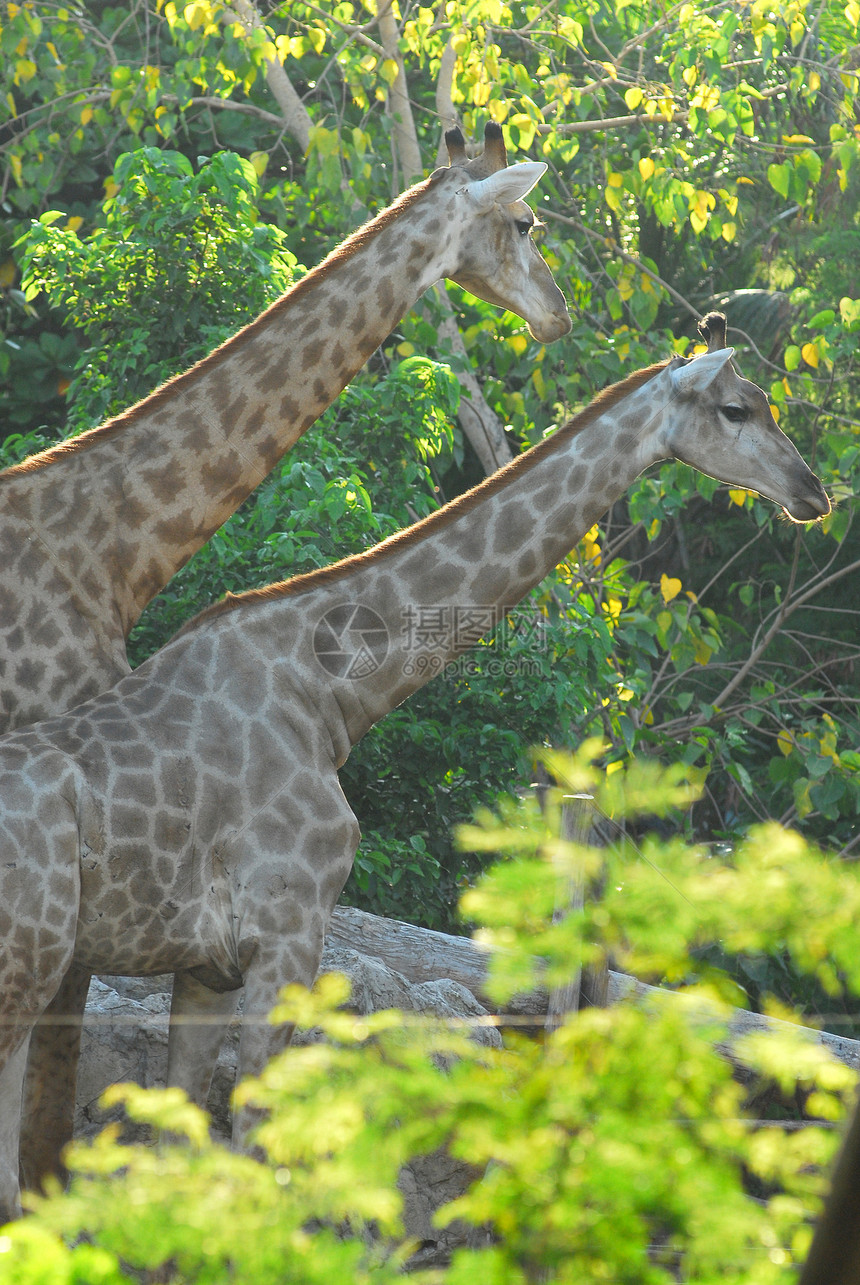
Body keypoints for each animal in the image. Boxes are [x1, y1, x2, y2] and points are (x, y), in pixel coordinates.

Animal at [0, 316, 827, 1218]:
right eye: (736, 407)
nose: (814, 492)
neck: (331, 691)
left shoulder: (207, 964)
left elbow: (186, 1162)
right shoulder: (287, 932)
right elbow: (256, 1144)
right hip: (27, 965)